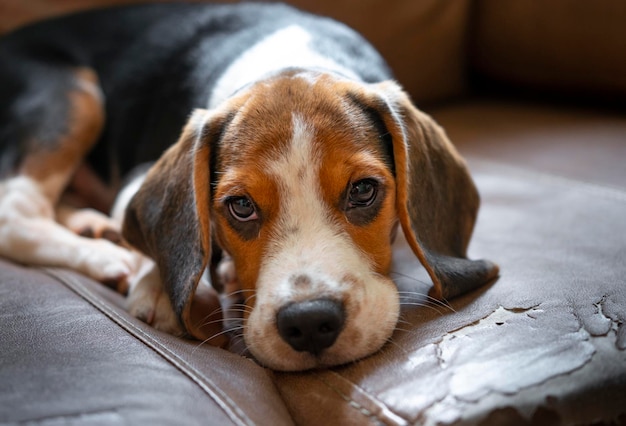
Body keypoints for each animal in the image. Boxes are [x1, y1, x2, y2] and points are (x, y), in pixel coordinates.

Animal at [0, 2, 498, 370]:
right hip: (73, 94)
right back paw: (106, 253)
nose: (310, 322)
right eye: (240, 206)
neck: (286, 61)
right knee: (16, 214)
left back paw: (94, 227)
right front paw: (166, 287)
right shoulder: (136, 173)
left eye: (363, 191)